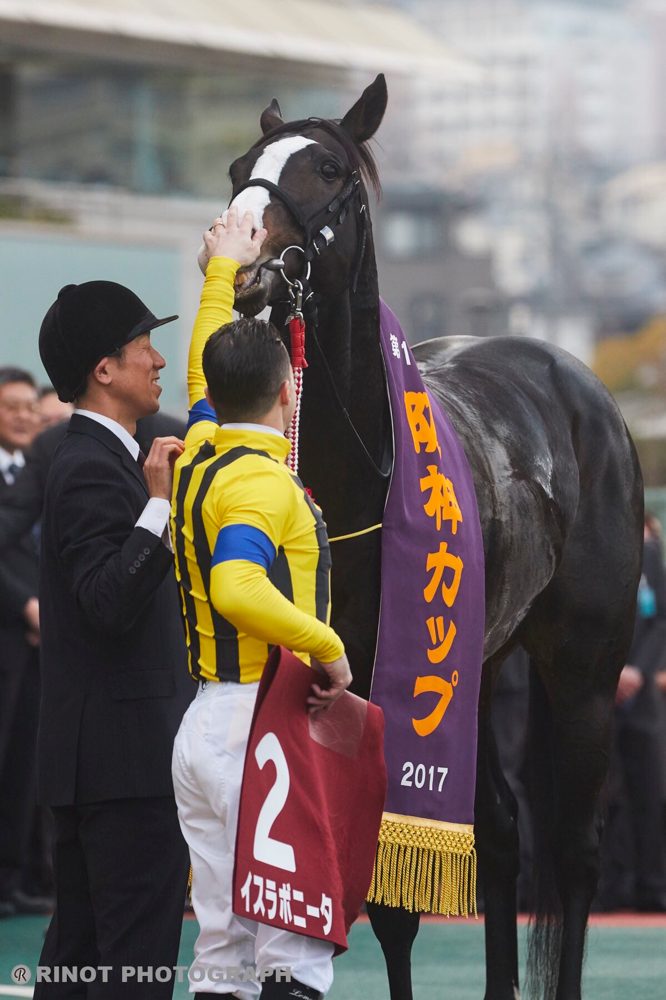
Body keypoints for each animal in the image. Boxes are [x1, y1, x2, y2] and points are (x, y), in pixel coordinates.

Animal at [223, 74, 644, 996]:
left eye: (328, 168)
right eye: (241, 167)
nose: (244, 261)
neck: (358, 482)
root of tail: (583, 389)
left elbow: (394, 897)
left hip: (585, 669)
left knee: (574, 850)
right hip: (469, 666)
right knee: (504, 831)